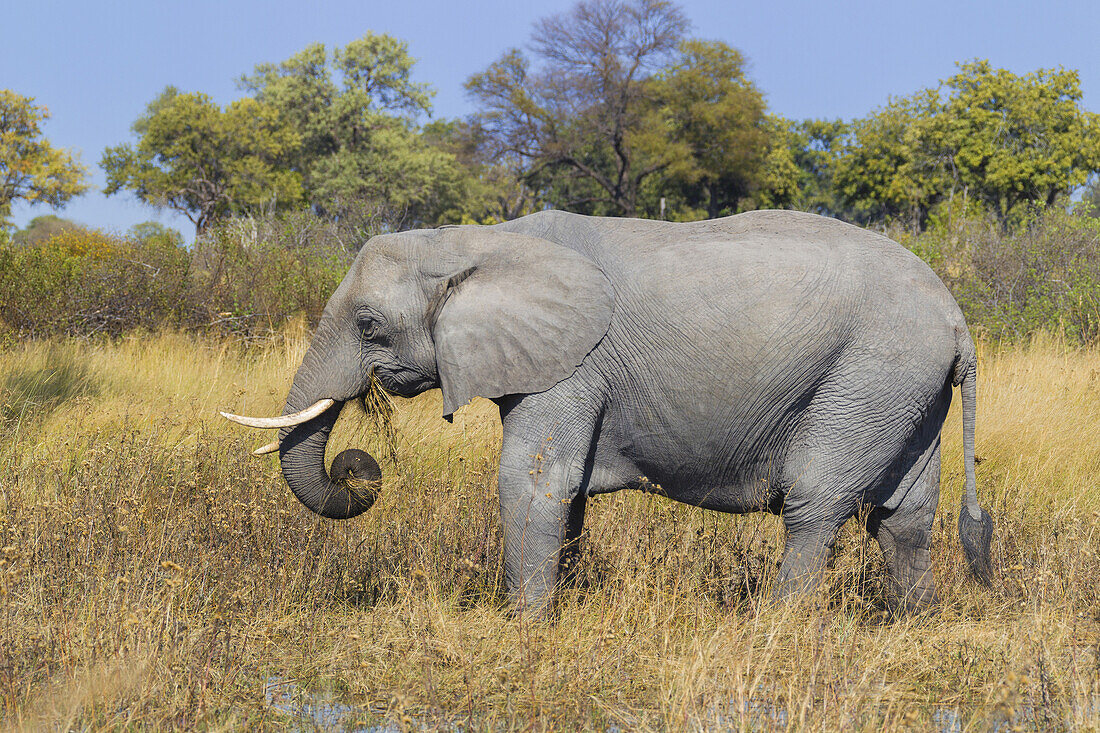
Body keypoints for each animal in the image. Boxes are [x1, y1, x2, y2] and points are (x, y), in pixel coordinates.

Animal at [223, 208, 998, 611]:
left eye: (369, 326)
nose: (357, 467)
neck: (478, 239)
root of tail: (959, 321)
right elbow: (561, 497)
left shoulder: (573, 363)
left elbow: (532, 480)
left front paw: (525, 625)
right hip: (907, 389)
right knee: (904, 517)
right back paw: (913, 623)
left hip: (869, 374)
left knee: (817, 504)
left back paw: (776, 627)